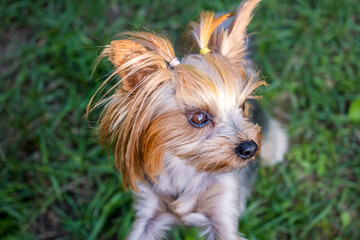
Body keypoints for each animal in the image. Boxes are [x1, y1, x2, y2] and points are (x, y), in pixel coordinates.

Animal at [87, 0, 286, 239]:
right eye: (199, 117)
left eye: (243, 105)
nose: (250, 148)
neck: (186, 167)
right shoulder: (149, 206)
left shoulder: (223, 206)